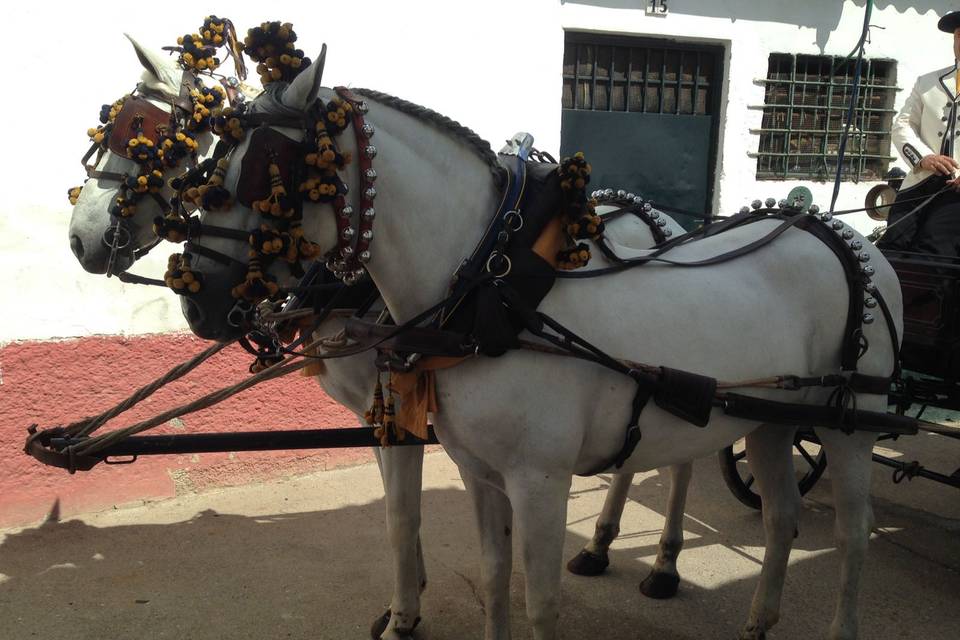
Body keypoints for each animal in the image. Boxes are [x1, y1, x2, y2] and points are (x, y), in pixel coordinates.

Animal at [65, 36, 696, 640]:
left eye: (143, 132)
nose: (80, 240)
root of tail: (663, 218)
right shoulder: (379, 411)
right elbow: (397, 510)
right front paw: (407, 596)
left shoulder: (403, 405)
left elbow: (401, 514)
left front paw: (405, 614)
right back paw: (600, 544)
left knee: (683, 460)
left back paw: (664, 564)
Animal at [178, 56, 900, 640]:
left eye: (268, 170)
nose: (196, 297)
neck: (493, 297)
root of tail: (836, 235)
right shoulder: (478, 470)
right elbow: (495, 577)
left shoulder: (540, 481)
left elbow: (539, 601)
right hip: (768, 424)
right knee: (782, 518)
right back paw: (755, 617)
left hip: (850, 428)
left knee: (852, 536)